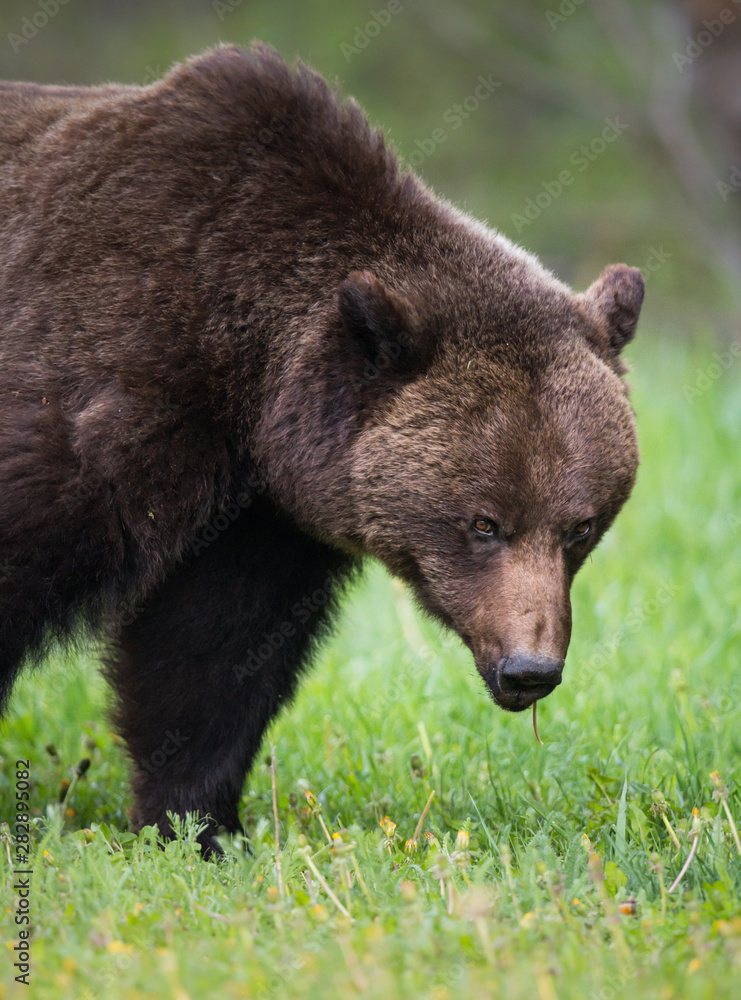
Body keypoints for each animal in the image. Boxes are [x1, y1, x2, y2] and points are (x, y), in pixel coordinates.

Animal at [0, 43, 643, 856]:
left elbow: (211, 654)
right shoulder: (98, 384)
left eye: (580, 526)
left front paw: (198, 825)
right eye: (482, 523)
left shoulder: (265, 515)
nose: (530, 669)